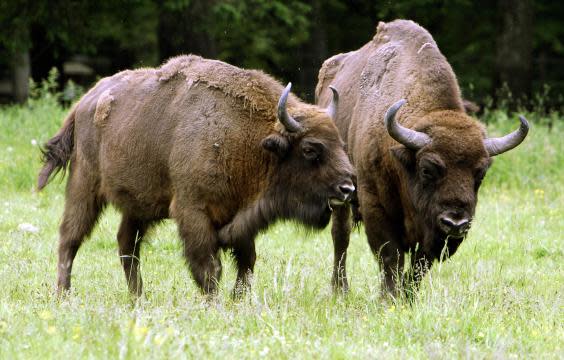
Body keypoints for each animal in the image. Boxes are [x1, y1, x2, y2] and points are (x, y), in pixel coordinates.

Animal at [39, 54, 352, 296]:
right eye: (310, 149)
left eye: (341, 142)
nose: (347, 188)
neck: (250, 140)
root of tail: (83, 103)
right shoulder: (193, 212)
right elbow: (209, 267)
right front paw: (214, 302)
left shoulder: (241, 219)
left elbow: (246, 261)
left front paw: (238, 299)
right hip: (84, 187)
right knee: (70, 238)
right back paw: (64, 294)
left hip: (137, 206)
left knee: (126, 244)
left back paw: (138, 297)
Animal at [318, 19, 528, 296]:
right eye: (428, 169)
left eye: (480, 173)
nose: (455, 222)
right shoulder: (374, 204)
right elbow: (390, 257)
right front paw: (389, 297)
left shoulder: (431, 236)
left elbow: (419, 265)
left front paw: (407, 298)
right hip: (341, 193)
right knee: (340, 236)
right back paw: (340, 289)